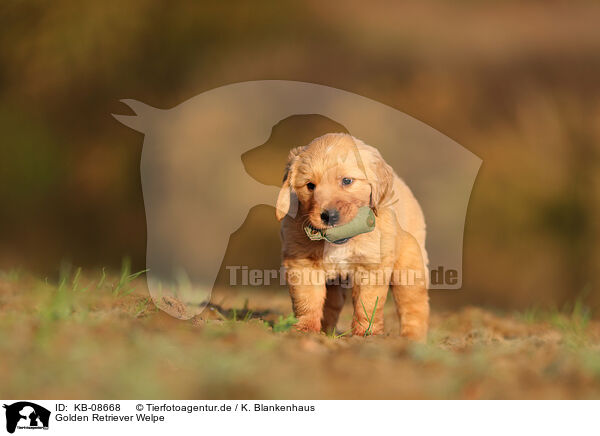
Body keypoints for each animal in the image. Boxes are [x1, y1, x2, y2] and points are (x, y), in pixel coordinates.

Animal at [274, 133, 428, 340]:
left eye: (347, 181)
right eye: (310, 186)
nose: (329, 216)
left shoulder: (371, 267)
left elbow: (368, 304)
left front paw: (366, 334)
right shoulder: (302, 263)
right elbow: (307, 300)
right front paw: (305, 330)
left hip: (410, 265)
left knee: (413, 304)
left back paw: (413, 338)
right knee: (331, 305)